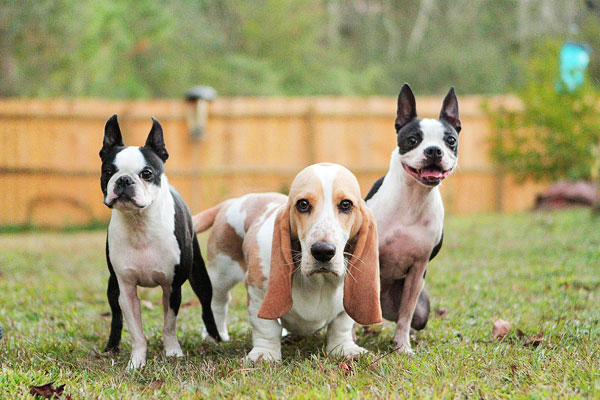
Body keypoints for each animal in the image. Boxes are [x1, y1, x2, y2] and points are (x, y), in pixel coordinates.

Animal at [193, 163, 380, 362]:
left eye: (346, 204)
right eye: (303, 204)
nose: (322, 251)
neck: (317, 282)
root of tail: (234, 202)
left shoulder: (345, 305)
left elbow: (341, 325)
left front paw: (345, 349)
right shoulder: (258, 293)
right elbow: (266, 327)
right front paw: (264, 354)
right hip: (220, 273)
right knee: (218, 302)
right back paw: (215, 336)